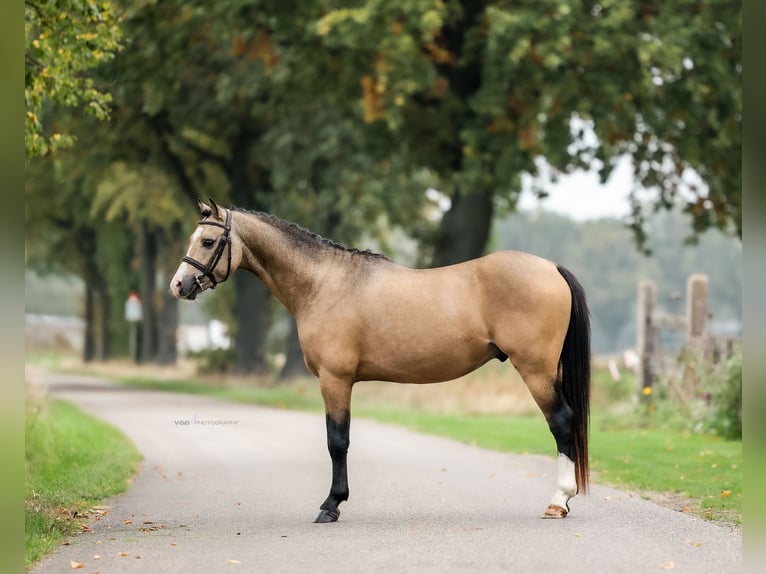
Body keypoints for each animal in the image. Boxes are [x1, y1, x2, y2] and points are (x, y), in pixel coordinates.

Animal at [170, 199, 591, 523]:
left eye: (208, 240)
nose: (178, 285)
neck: (324, 284)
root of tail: (551, 267)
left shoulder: (334, 379)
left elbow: (337, 441)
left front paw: (331, 505)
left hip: (535, 370)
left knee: (561, 422)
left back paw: (558, 501)